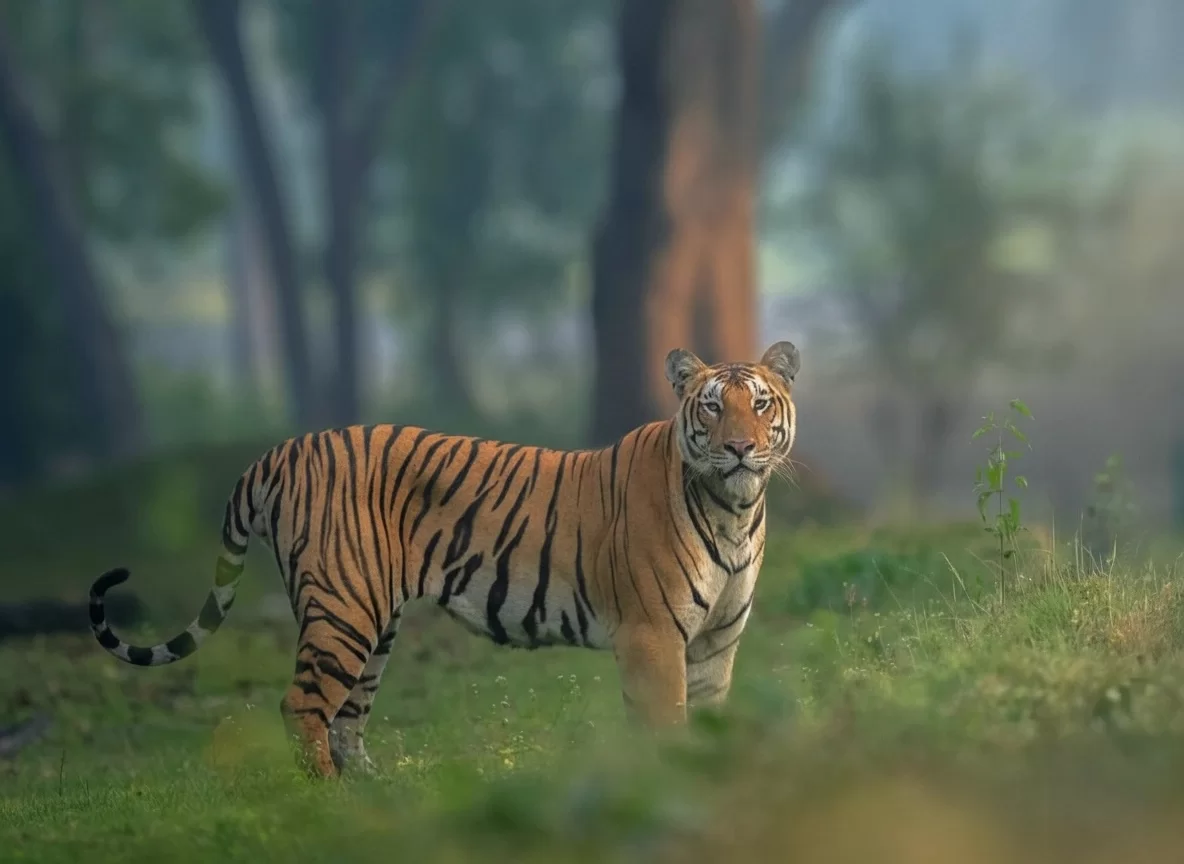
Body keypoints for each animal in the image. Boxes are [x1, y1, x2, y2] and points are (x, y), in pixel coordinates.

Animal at [88, 341, 800, 778]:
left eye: (760, 403)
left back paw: (380, 797)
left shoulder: (713, 641)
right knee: (302, 707)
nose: (740, 448)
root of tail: (280, 451)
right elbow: (667, 725)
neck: (735, 510)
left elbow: (708, 717)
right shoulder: (653, 636)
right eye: (713, 407)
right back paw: (324, 803)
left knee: (346, 719)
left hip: (373, 622)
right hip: (344, 610)